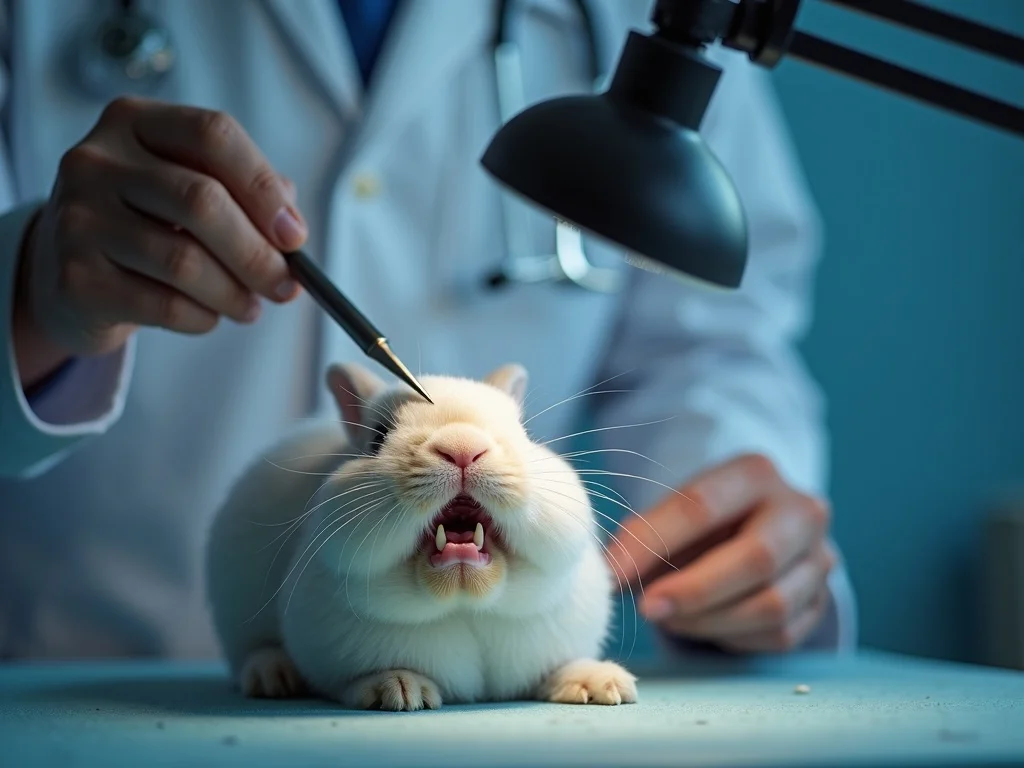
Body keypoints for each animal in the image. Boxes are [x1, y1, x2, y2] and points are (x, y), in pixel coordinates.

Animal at [204, 361, 637, 711]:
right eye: (378, 436)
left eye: (524, 432)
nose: (462, 448)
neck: (464, 604)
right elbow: (355, 680)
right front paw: (398, 687)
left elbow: (559, 666)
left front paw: (599, 683)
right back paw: (271, 675)